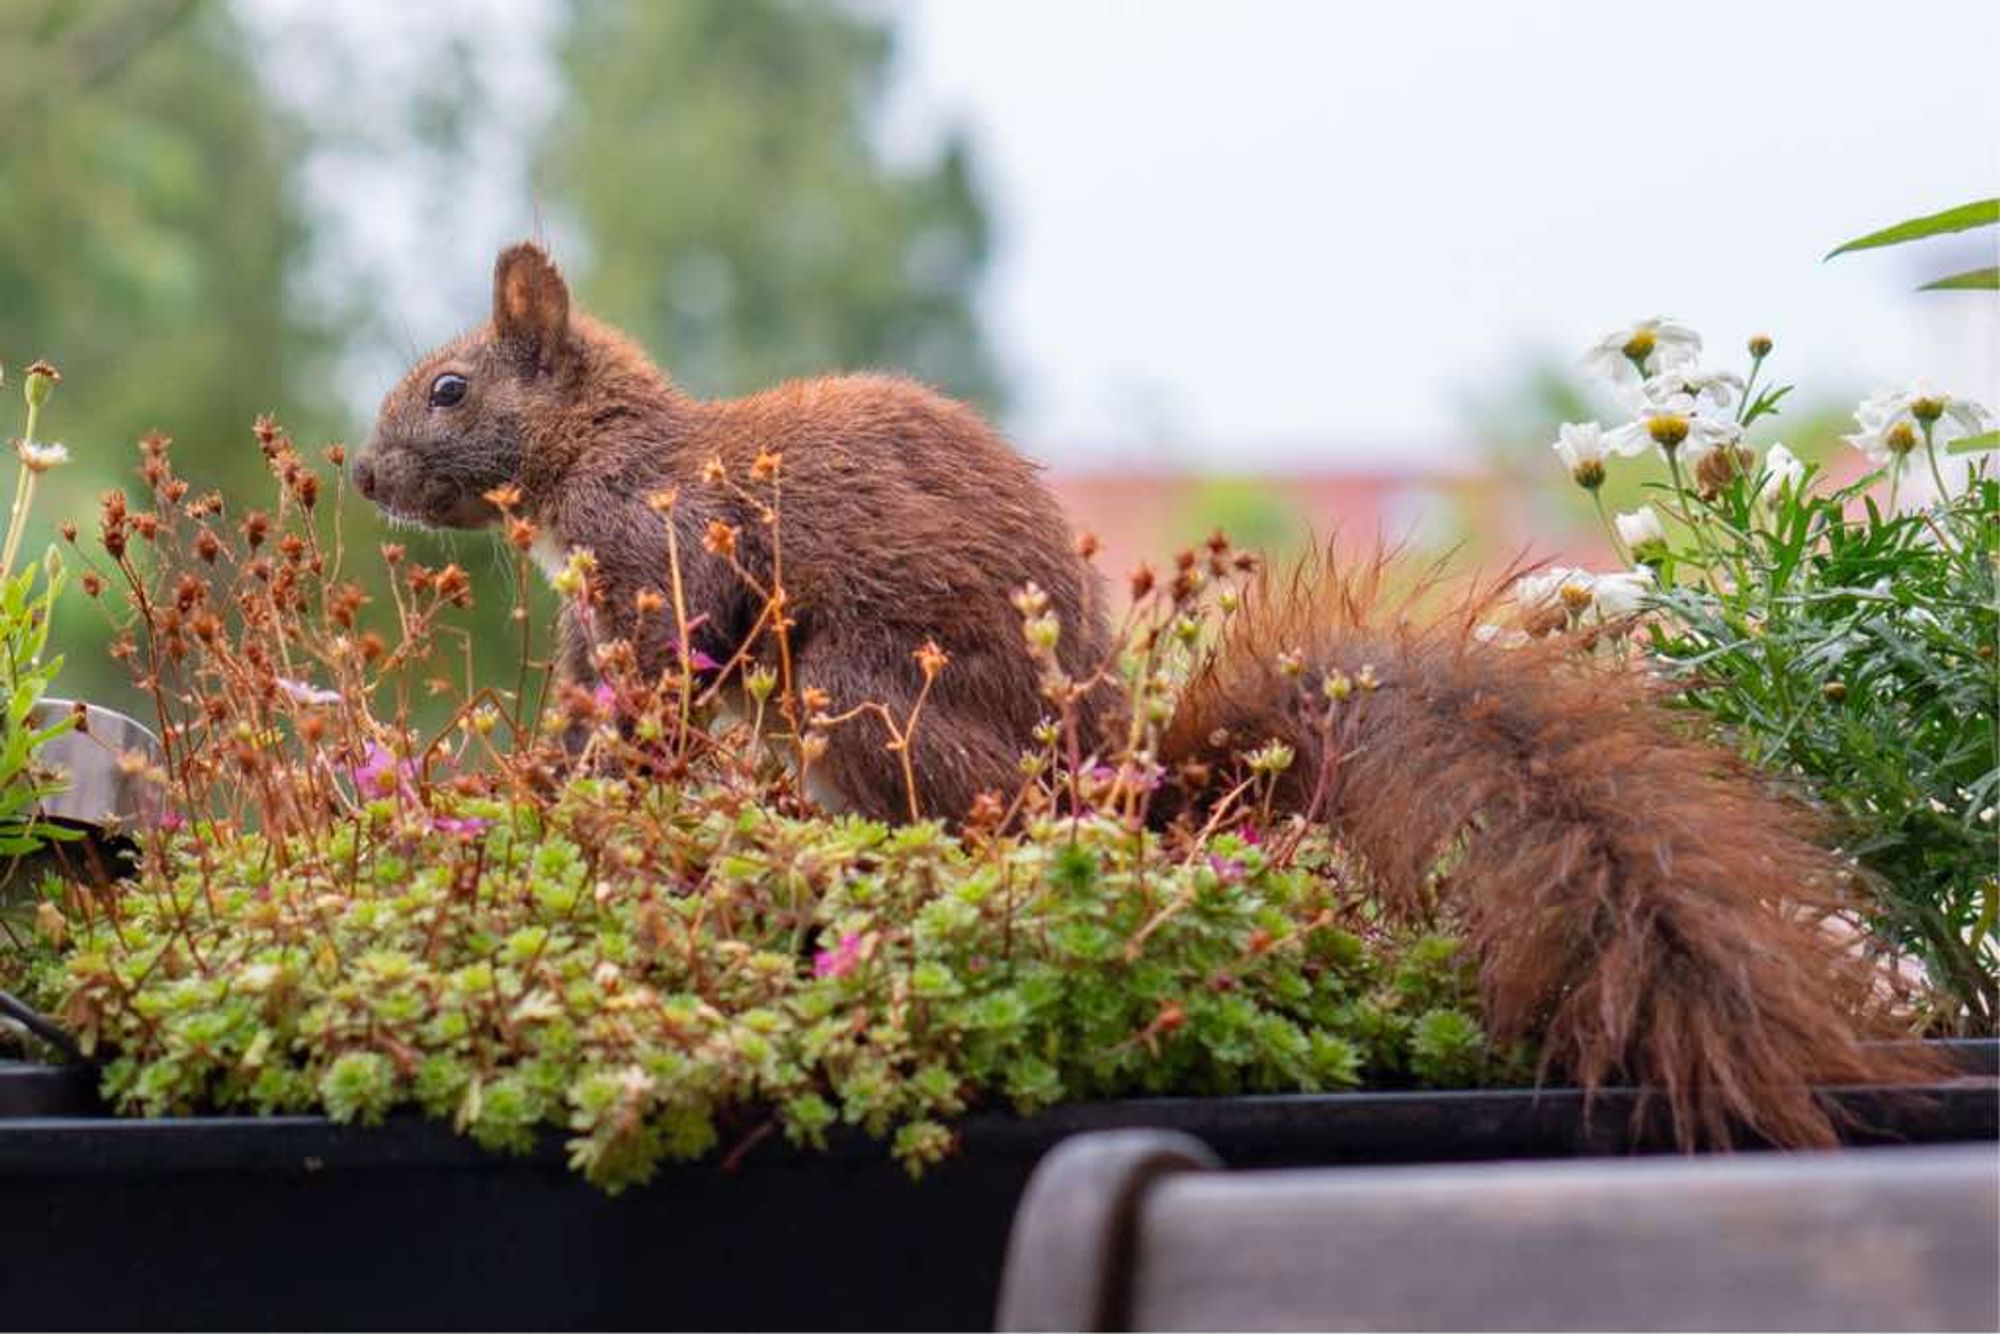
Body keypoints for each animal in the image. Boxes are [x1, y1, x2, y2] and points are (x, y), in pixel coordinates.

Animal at [356, 245, 1936, 1152]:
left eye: (448, 389)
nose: (364, 474)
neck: (599, 449)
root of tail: (1112, 790)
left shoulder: (659, 563)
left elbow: (641, 697)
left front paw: (569, 797)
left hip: (868, 705)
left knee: (966, 829)